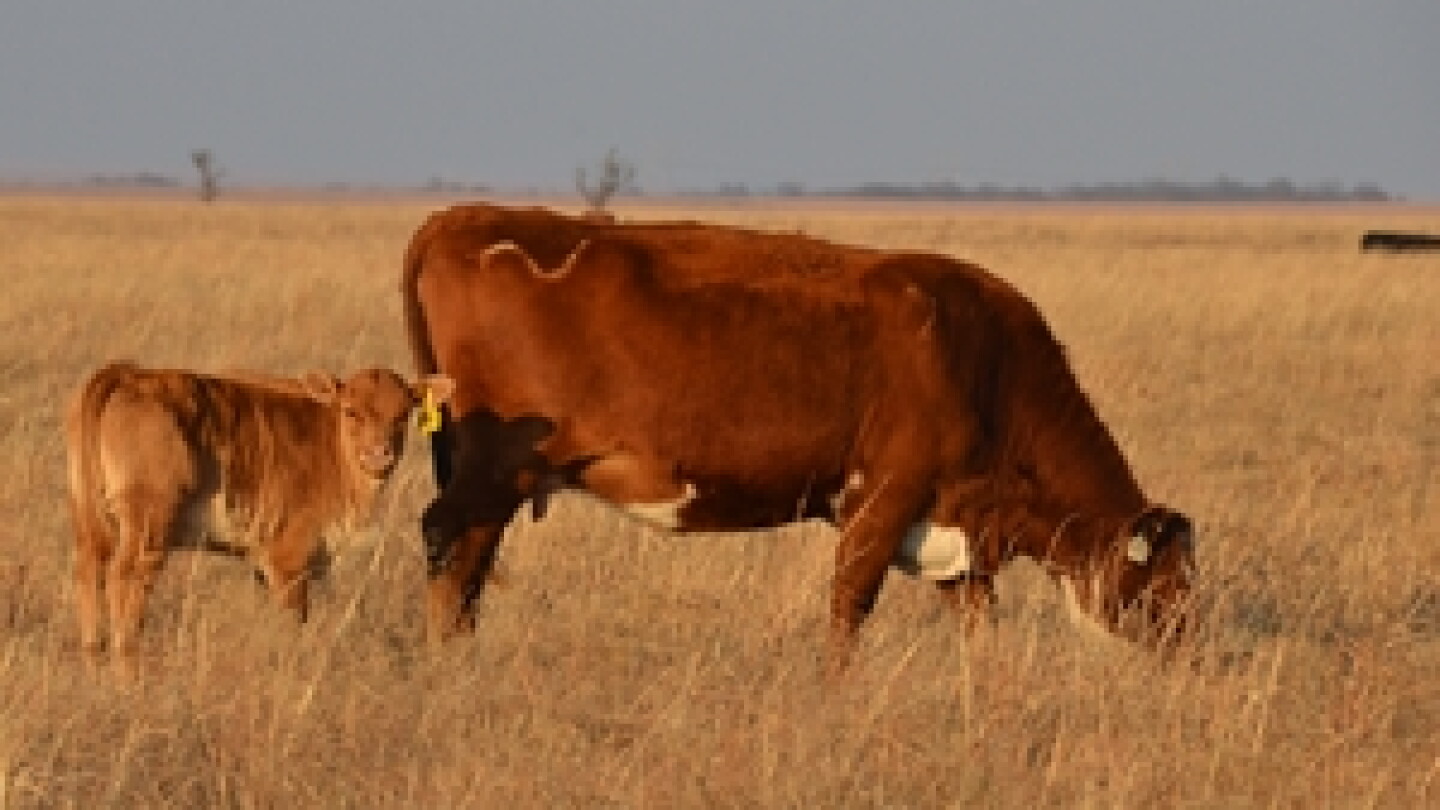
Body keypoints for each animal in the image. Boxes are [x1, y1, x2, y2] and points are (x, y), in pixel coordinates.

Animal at [65, 361, 454, 673]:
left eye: (403, 414)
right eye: (351, 411)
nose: (379, 454)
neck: (329, 445)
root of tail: (128, 374)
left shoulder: (262, 562)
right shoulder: (289, 561)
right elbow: (293, 626)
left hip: (91, 525)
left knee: (89, 575)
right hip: (149, 525)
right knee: (123, 582)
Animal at [401, 203, 1195, 673]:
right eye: (1170, 586)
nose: (1188, 658)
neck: (982, 357)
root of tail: (465, 216)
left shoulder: (957, 528)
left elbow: (980, 632)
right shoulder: (882, 500)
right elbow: (849, 609)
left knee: (469, 561)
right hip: (492, 468)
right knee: (449, 543)